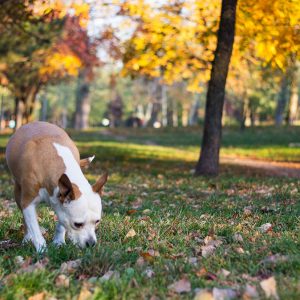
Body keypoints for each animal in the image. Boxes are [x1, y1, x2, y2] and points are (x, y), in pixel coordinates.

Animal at [5, 121, 108, 251]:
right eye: (77, 224)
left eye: (97, 221)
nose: (91, 243)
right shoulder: (28, 203)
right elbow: (34, 227)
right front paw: (42, 249)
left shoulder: (62, 201)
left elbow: (61, 223)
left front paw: (59, 242)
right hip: (18, 193)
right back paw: (27, 238)